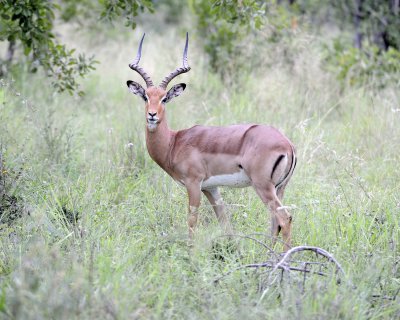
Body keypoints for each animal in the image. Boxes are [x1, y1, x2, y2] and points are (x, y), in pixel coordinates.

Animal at [126, 33, 296, 251]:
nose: (152, 115)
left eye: (164, 98)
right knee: (275, 222)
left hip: (263, 187)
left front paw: (190, 253)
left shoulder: (193, 183)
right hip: (279, 188)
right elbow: (224, 221)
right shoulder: (211, 188)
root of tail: (287, 144)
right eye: (146, 97)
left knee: (285, 218)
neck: (174, 142)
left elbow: (192, 220)